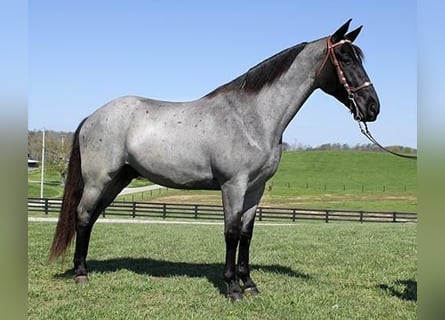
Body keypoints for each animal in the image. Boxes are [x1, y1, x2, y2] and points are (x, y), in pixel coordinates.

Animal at [51, 19, 378, 300]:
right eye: (346, 59)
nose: (372, 106)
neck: (253, 117)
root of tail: (92, 117)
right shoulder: (233, 185)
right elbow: (231, 233)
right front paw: (232, 288)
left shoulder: (256, 188)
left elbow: (246, 233)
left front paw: (249, 284)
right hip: (98, 180)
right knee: (83, 216)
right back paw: (81, 274)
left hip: (118, 180)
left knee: (91, 217)